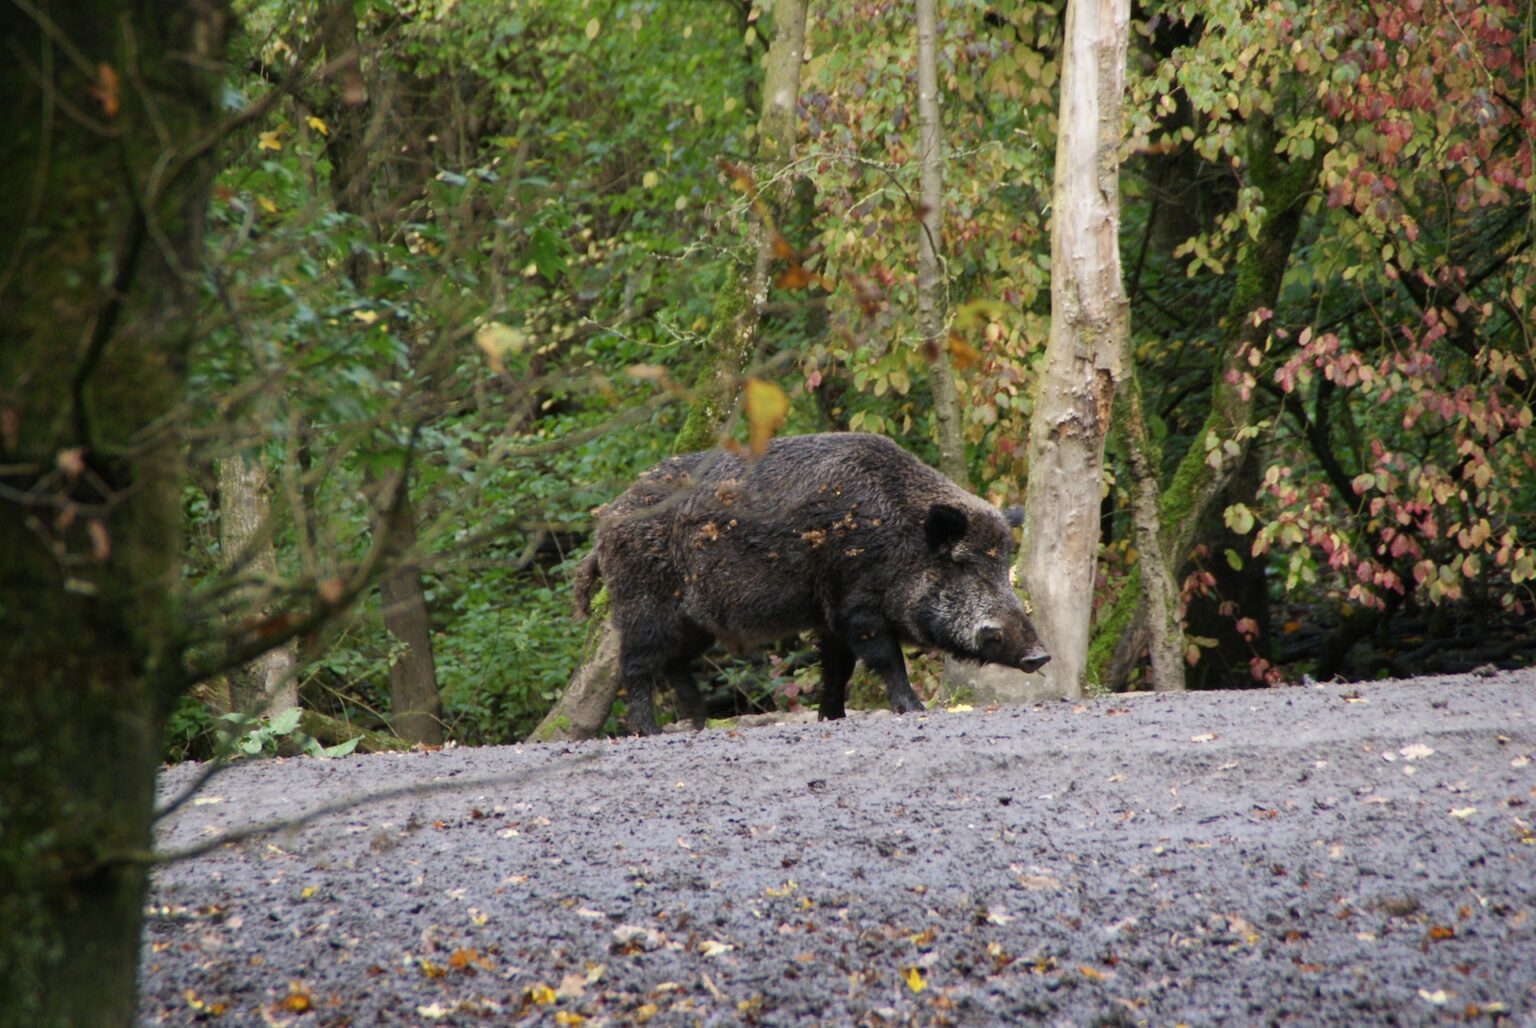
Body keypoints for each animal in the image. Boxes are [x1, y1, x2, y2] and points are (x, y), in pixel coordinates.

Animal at [573, 432, 1049, 735]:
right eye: (966, 565)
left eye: (1002, 565)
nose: (1039, 655)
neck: (900, 541)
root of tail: (606, 523)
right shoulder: (857, 606)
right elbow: (884, 659)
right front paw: (912, 709)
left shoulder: (831, 616)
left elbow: (838, 667)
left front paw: (833, 718)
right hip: (643, 603)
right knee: (635, 665)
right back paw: (650, 731)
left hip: (695, 623)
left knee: (674, 664)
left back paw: (700, 723)